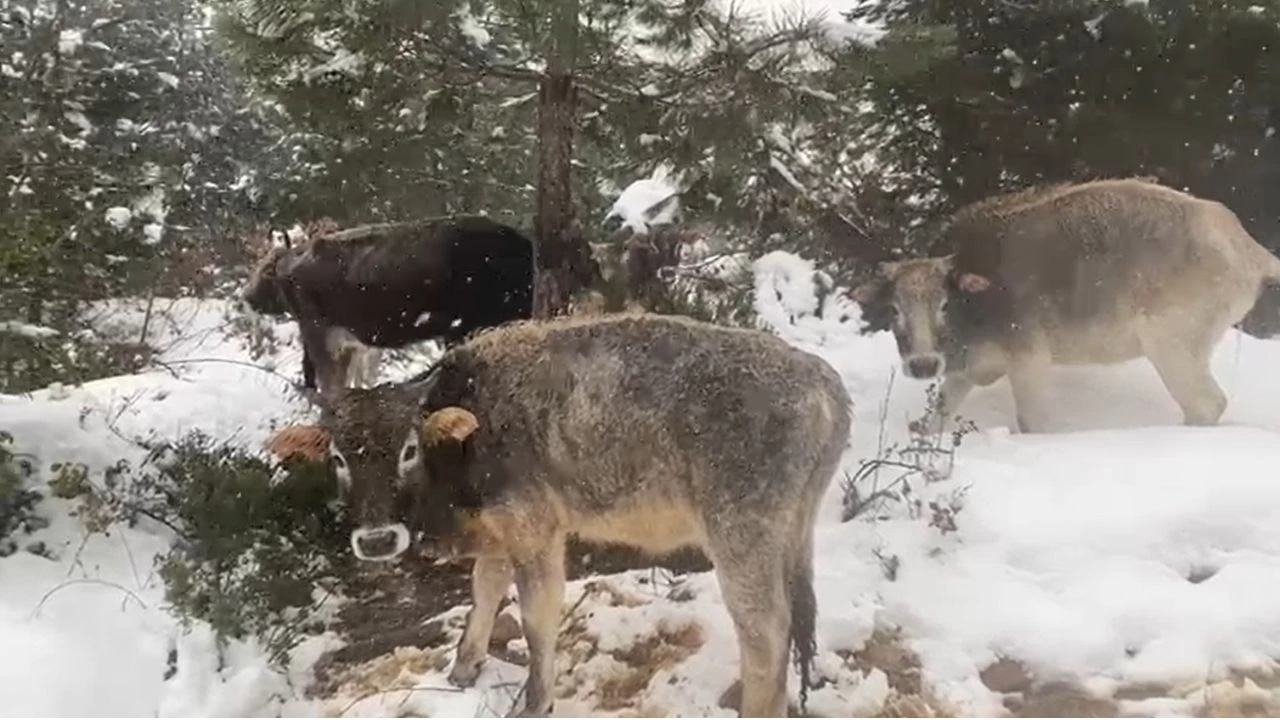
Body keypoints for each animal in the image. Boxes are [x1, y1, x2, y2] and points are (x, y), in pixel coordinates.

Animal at [268, 313, 849, 717]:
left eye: (410, 449)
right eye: (338, 457)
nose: (378, 540)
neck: (474, 423)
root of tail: (818, 375)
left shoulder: (535, 532)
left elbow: (535, 615)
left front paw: (535, 700)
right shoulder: (500, 533)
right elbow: (484, 591)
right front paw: (463, 669)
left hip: (741, 540)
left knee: (765, 632)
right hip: (791, 535)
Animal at [849, 176, 1280, 430]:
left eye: (943, 304)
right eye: (893, 309)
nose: (922, 364)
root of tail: (1248, 247)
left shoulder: (1029, 361)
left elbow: (1031, 423)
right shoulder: (965, 372)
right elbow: (935, 418)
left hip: (1173, 347)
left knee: (1207, 405)